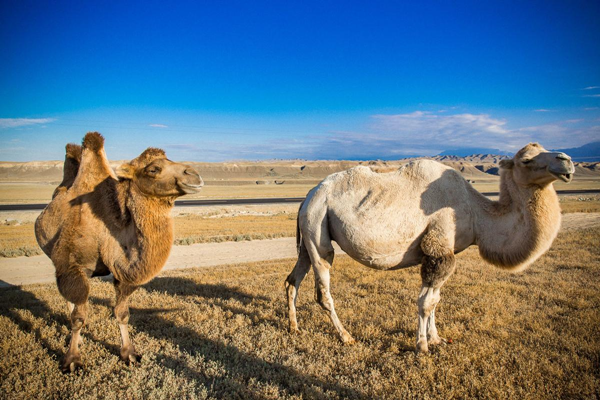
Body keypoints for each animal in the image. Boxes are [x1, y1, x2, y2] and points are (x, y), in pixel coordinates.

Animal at [35, 132, 204, 372]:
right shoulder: (73, 266)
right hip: (57, 259)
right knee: (70, 302)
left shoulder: (121, 273)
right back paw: (77, 340)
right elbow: (78, 317)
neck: (108, 231)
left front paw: (129, 354)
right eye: (153, 169)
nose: (194, 174)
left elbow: (122, 313)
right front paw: (72, 360)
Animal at [286, 143, 576, 354]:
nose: (567, 160)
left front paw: (436, 339)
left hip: (310, 233)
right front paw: (422, 346)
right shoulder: (438, 247)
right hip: (318, 226)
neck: (476, 214)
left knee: (293, 279)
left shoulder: (444, 252)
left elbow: (436, 300)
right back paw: (346, 337)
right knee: (323, 288)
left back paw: (294, 327)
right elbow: (425, 302)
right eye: (526, 159)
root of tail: (308, 196)